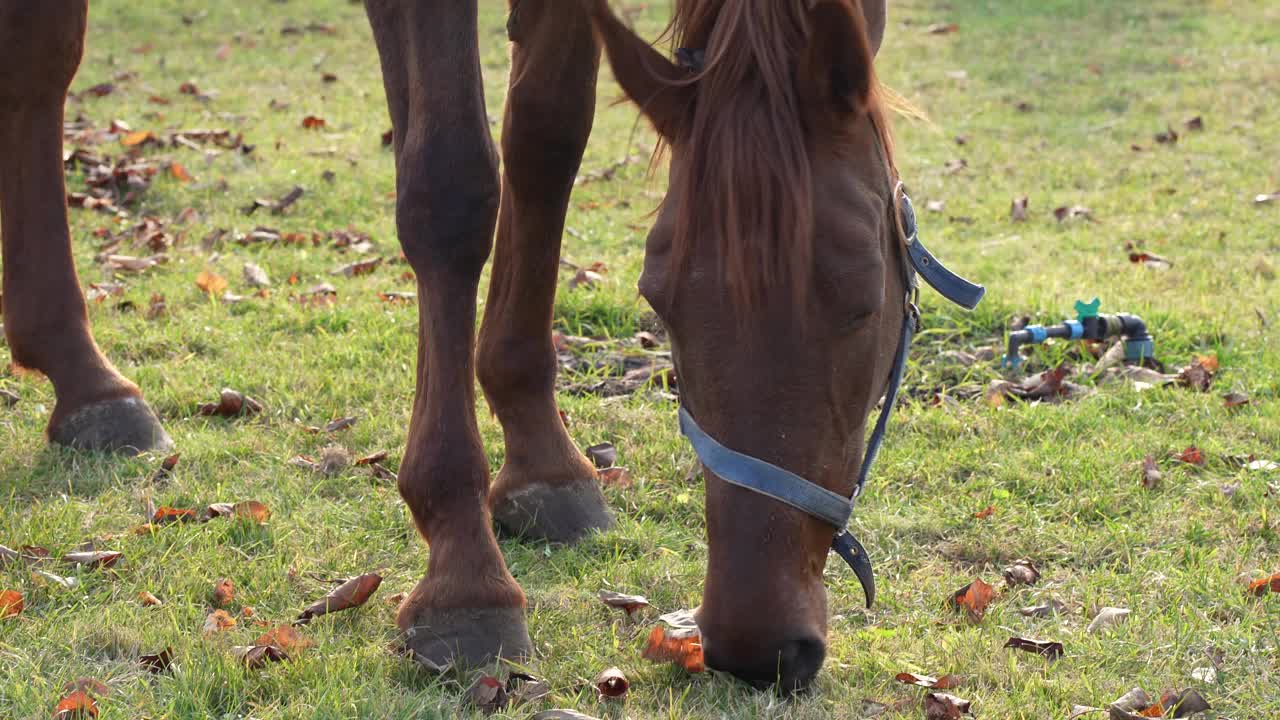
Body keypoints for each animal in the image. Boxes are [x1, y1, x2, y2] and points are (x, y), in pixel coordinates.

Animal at [0, 0, 901, 691]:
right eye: (660, 300)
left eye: (868, 300)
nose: (756, 644)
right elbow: (452, 181)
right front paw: (466, 576)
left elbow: (547, 134)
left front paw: (544, 462)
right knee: (43, 59)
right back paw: (89, 385)